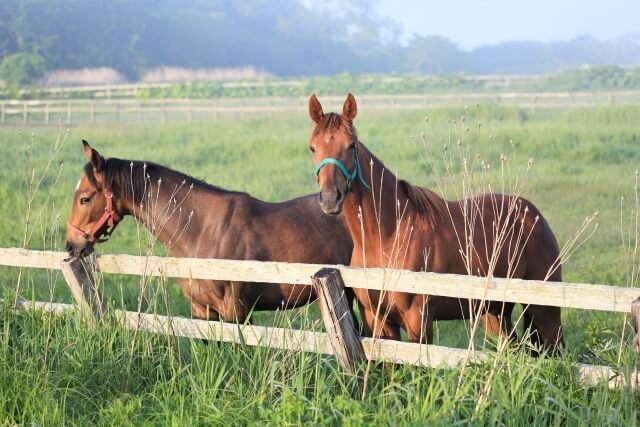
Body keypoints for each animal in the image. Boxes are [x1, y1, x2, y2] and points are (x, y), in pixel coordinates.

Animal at [308, 93, 564, 354]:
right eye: (312, 147)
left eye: (351, 145)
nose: (330, 198)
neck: (387, 237)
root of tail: (532, 215)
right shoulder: (377, 320)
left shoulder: (418, 320)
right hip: (494, 311)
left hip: (545, 312)